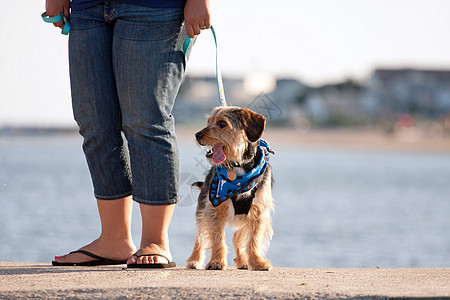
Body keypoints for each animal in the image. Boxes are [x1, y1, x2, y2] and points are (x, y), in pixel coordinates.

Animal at [186, 106, 274, 270]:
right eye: (208, 121)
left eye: (222, 123)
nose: (197, 134)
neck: (237, 166)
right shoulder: (213, 209)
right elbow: (217, 237)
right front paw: (216, 262)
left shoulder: (259, 213)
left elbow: (254, 239)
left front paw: (257, 262)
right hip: (202, 209)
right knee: (200, 237)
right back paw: (194, 260)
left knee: (237, 237)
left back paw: (243, 261)